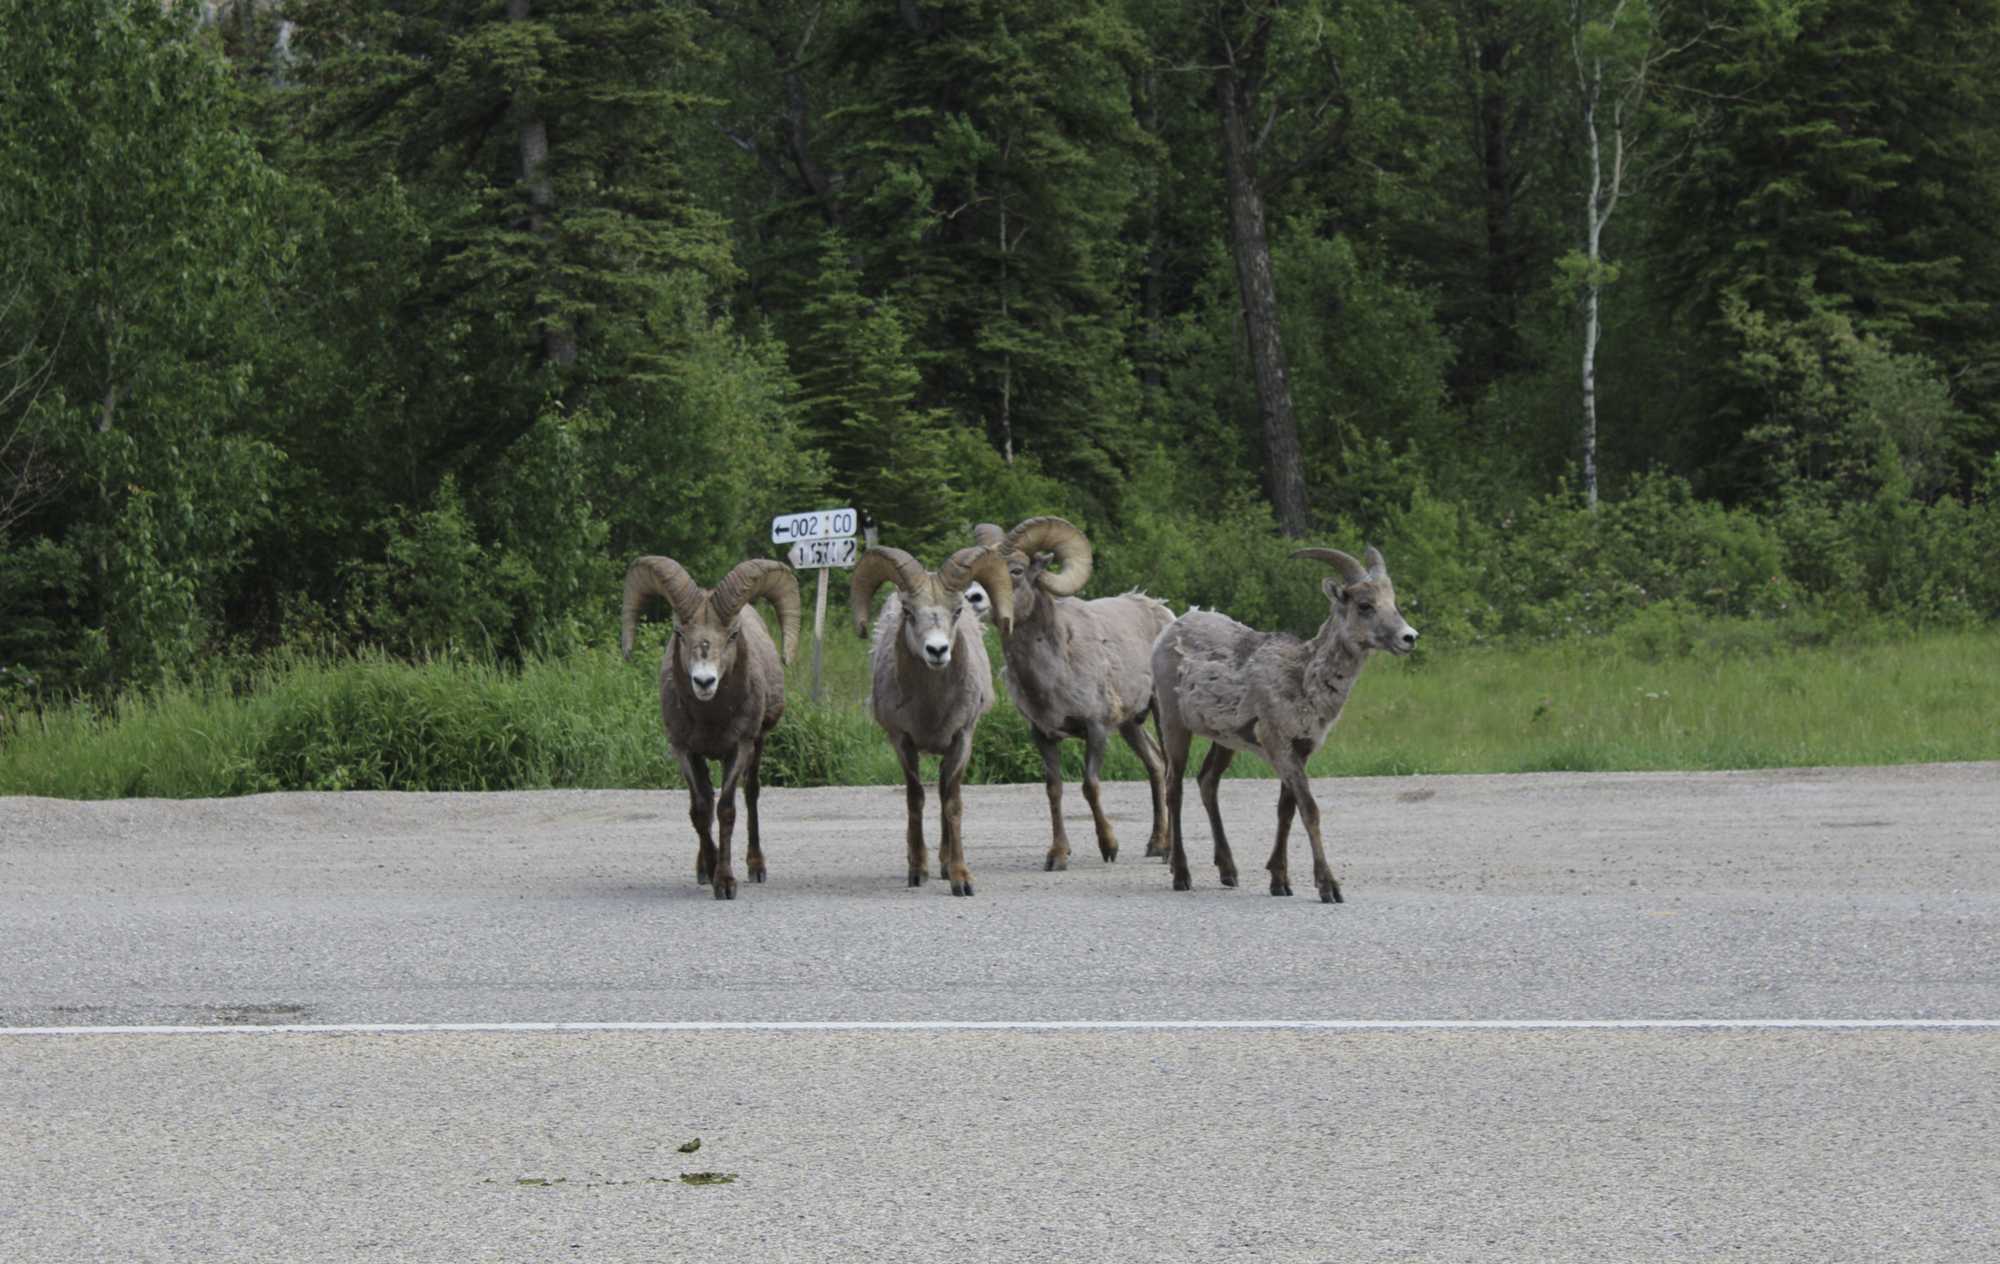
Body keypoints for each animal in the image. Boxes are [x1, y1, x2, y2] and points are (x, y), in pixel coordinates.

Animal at [621, 556, 802, 900]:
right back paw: (704, 867)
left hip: (759, 742)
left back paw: (756, 867)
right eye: (679, 632)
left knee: (751, 792)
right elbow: (701, 810)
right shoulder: (684, 750)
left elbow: (726, 810)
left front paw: (726, 883)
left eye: (733, 634)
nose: (704, 681)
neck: (711, 720)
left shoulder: (740, 745)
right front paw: (709, 868)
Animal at [851, 543, 1015, 896]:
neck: (931, 707)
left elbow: (952, 804)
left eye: (958, 610)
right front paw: (917, 871)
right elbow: (915, 800)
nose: (937, 651)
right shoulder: (902, 740)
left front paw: (960, 879)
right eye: (908, 611)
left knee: (942, 794)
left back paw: (943, 864)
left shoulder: (962, 738)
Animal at [971, 517, 1177, 871]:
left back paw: (1167, 851)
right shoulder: (1042, 734)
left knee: (1169, 769)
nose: (972, 597)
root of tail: (1161, 610)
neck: (1056, 668)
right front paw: (1057, 856)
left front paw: (1109, 847)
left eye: (1016, 570)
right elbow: (1054, 789)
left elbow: (1090, 786)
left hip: (1161, 715)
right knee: (1155, 764)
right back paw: (1154, 844)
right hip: (1131, 725)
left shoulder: (1096, 729)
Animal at [1151, 546, 1417, 903]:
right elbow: (1310, 810)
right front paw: (1328, 887)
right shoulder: (1279, 746)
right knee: (1174, 788)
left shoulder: (1299, 750)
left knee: (1207, 782)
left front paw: (1279, 881)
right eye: (1364, 605)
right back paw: (1181, 874)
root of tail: (1169, 630)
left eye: (1394, 602)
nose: (1409, 638)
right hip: (1173, 723)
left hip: (1224, 740)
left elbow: (1286, 810)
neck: (1304, 679)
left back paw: (1229, 872)